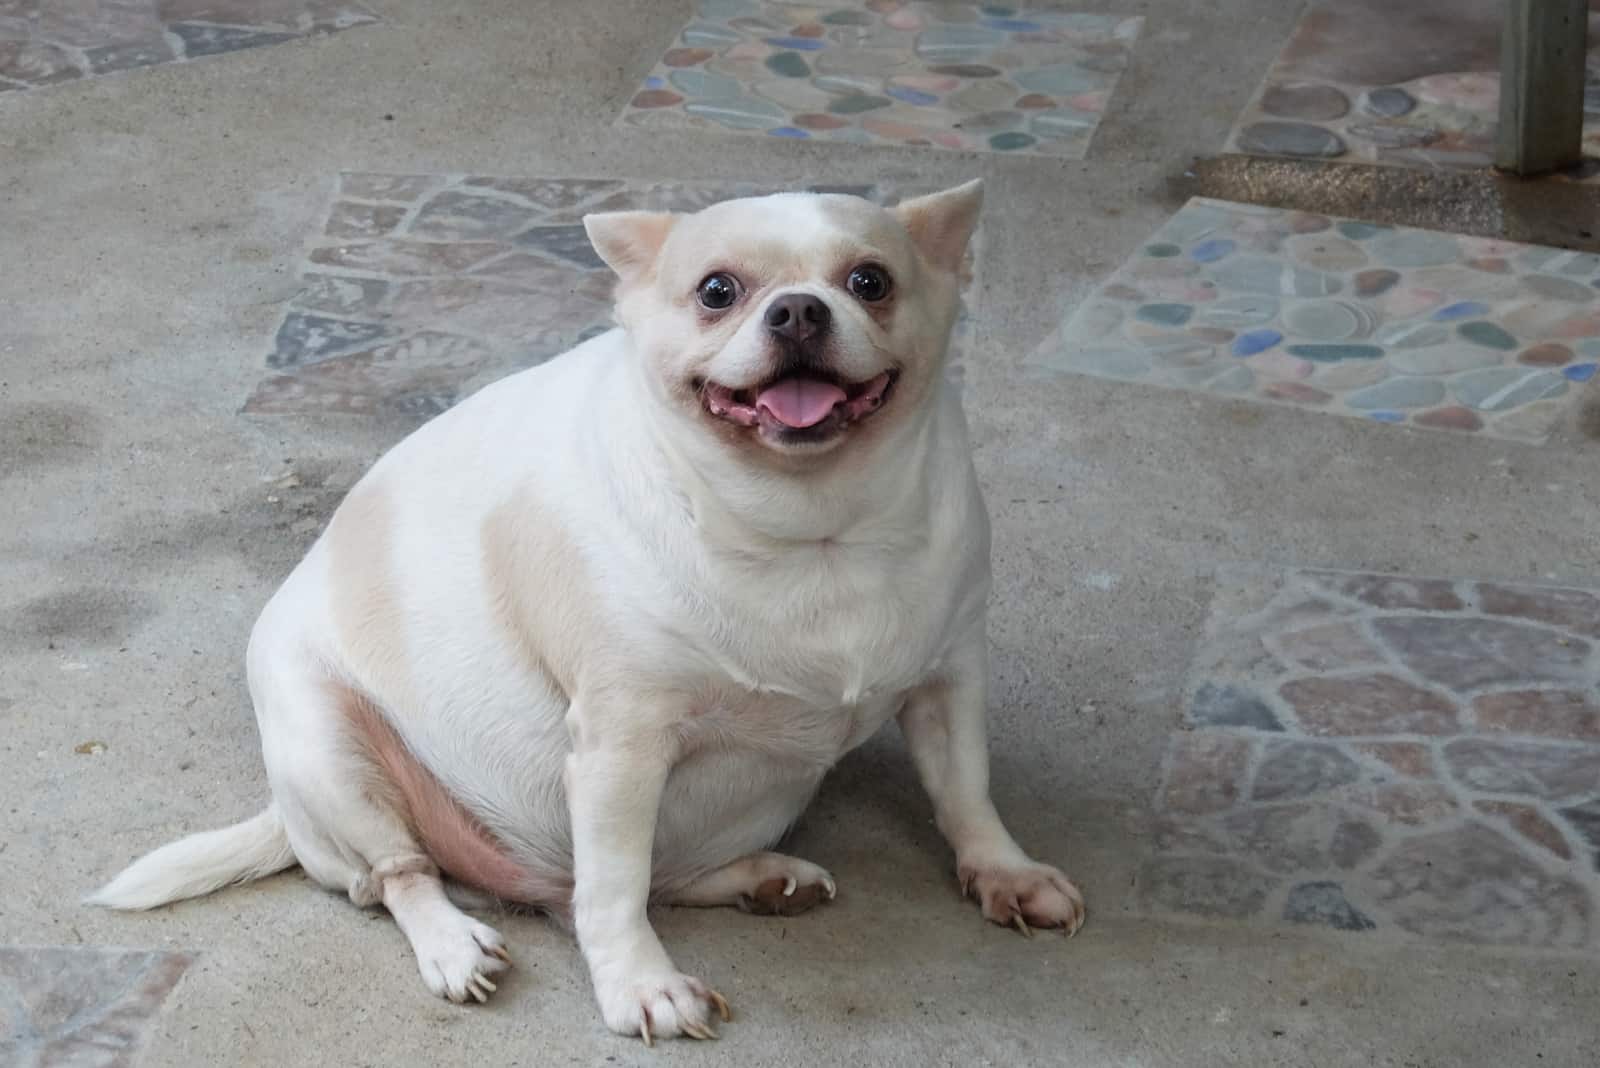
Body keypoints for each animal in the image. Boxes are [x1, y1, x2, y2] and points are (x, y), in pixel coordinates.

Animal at [93, 183, 1081, 1042]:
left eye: (870, 281)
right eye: (717, 291)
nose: (798, 310)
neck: (812, 531)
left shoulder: (949, 681)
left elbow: (966, 794)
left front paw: (1005, 874)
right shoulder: (621, 746)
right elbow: (610, 886)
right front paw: (641, 987)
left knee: (643, 880)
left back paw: (761, 878)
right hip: (330, 750)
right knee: (415, 877)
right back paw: (452, 943)